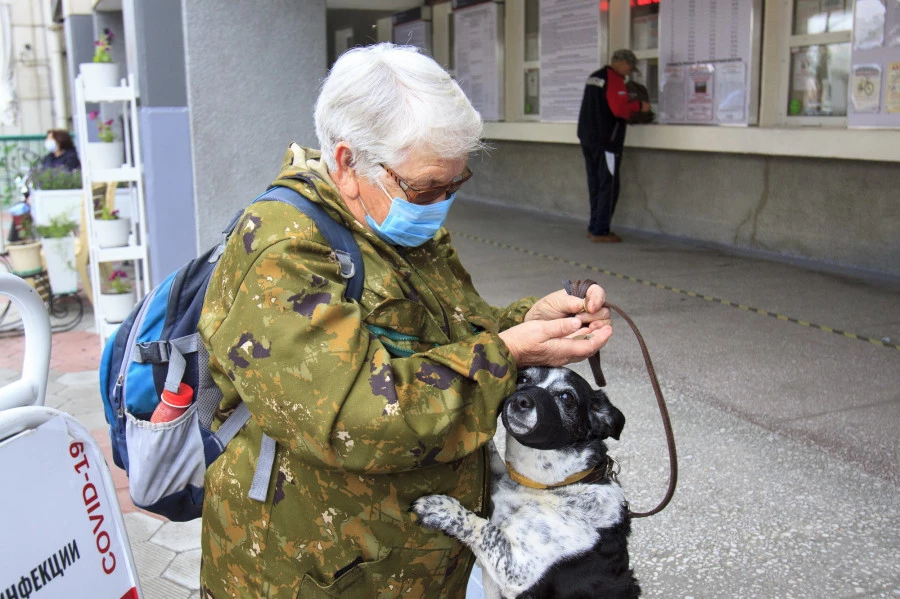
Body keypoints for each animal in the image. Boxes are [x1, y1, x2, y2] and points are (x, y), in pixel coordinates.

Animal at [412, 368, 636, 596]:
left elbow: (486, 529)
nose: (521, 400)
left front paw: (443, 509)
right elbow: (492, 455)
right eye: (523, 378)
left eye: (567, 397)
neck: (550, 486)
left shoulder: (517, 567)